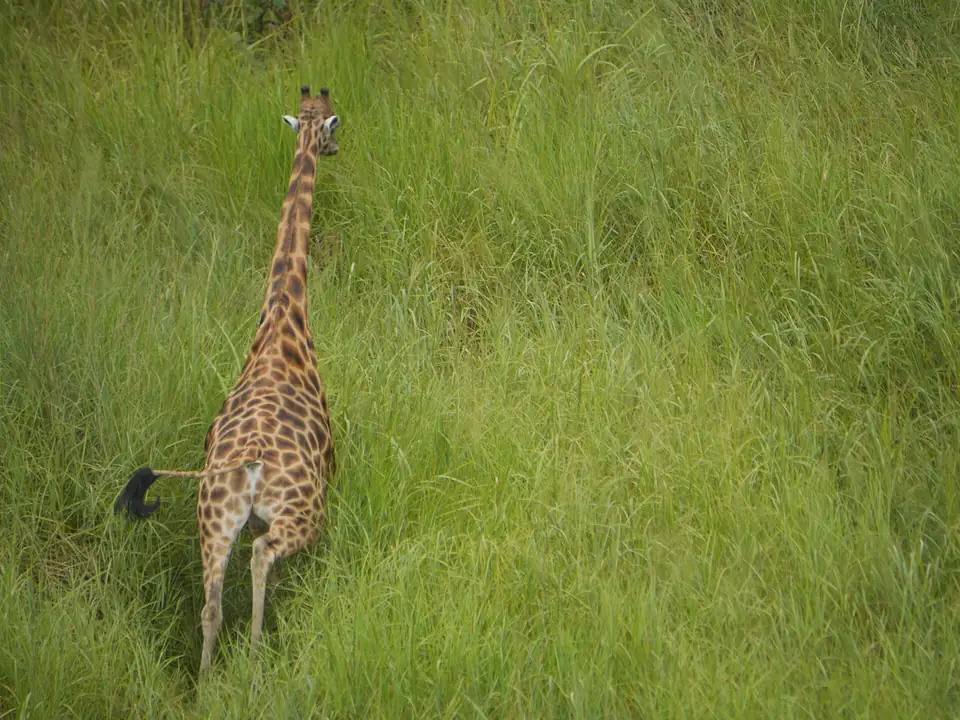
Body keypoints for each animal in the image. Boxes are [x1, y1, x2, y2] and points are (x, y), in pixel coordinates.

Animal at [114, 84, 340, 672]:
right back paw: (257, 658)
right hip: (301, 514)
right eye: (335, 125)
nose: (332, 149)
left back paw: (208, 680)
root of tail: (248, 464)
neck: (283, 313)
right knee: (260, 558)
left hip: (213, 520)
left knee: (210, 606)